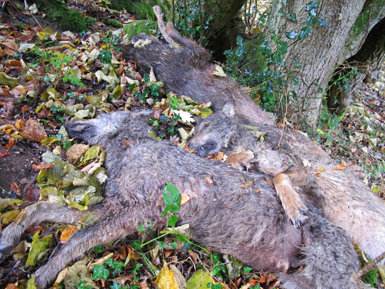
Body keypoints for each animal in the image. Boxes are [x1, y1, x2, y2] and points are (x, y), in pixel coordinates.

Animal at [0, 111, 360, 288]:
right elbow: (44, 207)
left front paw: (45, 273)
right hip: (294, 281)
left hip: (328, 274)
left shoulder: (135, 213)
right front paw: (11, 233)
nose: (66, 122)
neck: (132, 146)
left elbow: (77, 238)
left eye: (100, 113)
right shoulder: (115, 206)